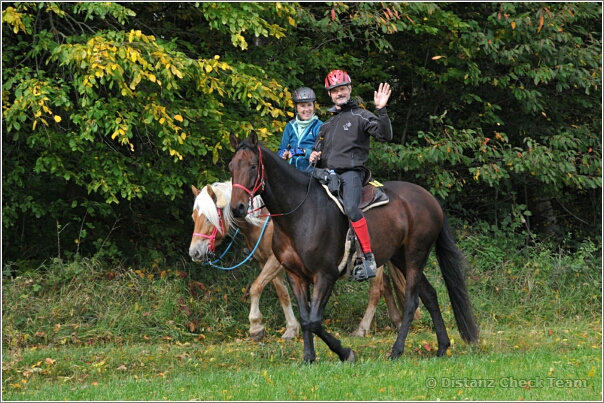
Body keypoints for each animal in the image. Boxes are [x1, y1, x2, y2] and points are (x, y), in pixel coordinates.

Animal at [188, 181, 420, 341]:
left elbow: (256, 287)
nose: (195, 253)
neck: (264, 221)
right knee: (387, 285)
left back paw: (362, 329)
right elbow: (282, 293)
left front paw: (256, 327)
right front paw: (291, 329)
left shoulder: (274, 261)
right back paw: (396, 321)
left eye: (209, 218)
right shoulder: (269, 263)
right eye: (193, 217)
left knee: (376, 290)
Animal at [228, 131, 479, 362]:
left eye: (253, 165)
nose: (237, 208)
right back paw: (442, 347)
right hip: (400, 258)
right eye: (231, 166)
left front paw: (346, 353)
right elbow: (305, 318)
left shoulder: (325, 275)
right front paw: (309, 358)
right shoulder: (295, 275)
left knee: (411, 301)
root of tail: (429, 198)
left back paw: (396, 351)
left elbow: (314, 321)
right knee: (430, 295)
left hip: (416, 256)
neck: (300, 212)